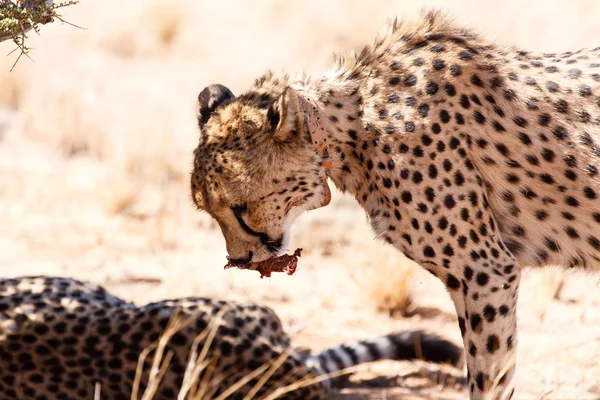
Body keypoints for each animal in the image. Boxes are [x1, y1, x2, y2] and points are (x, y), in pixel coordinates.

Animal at [190, 9, 600, 400]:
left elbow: (489, 378)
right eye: (207, 210)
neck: (356, 122)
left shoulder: (485, 271)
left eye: (241, 209)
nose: (240, 260)